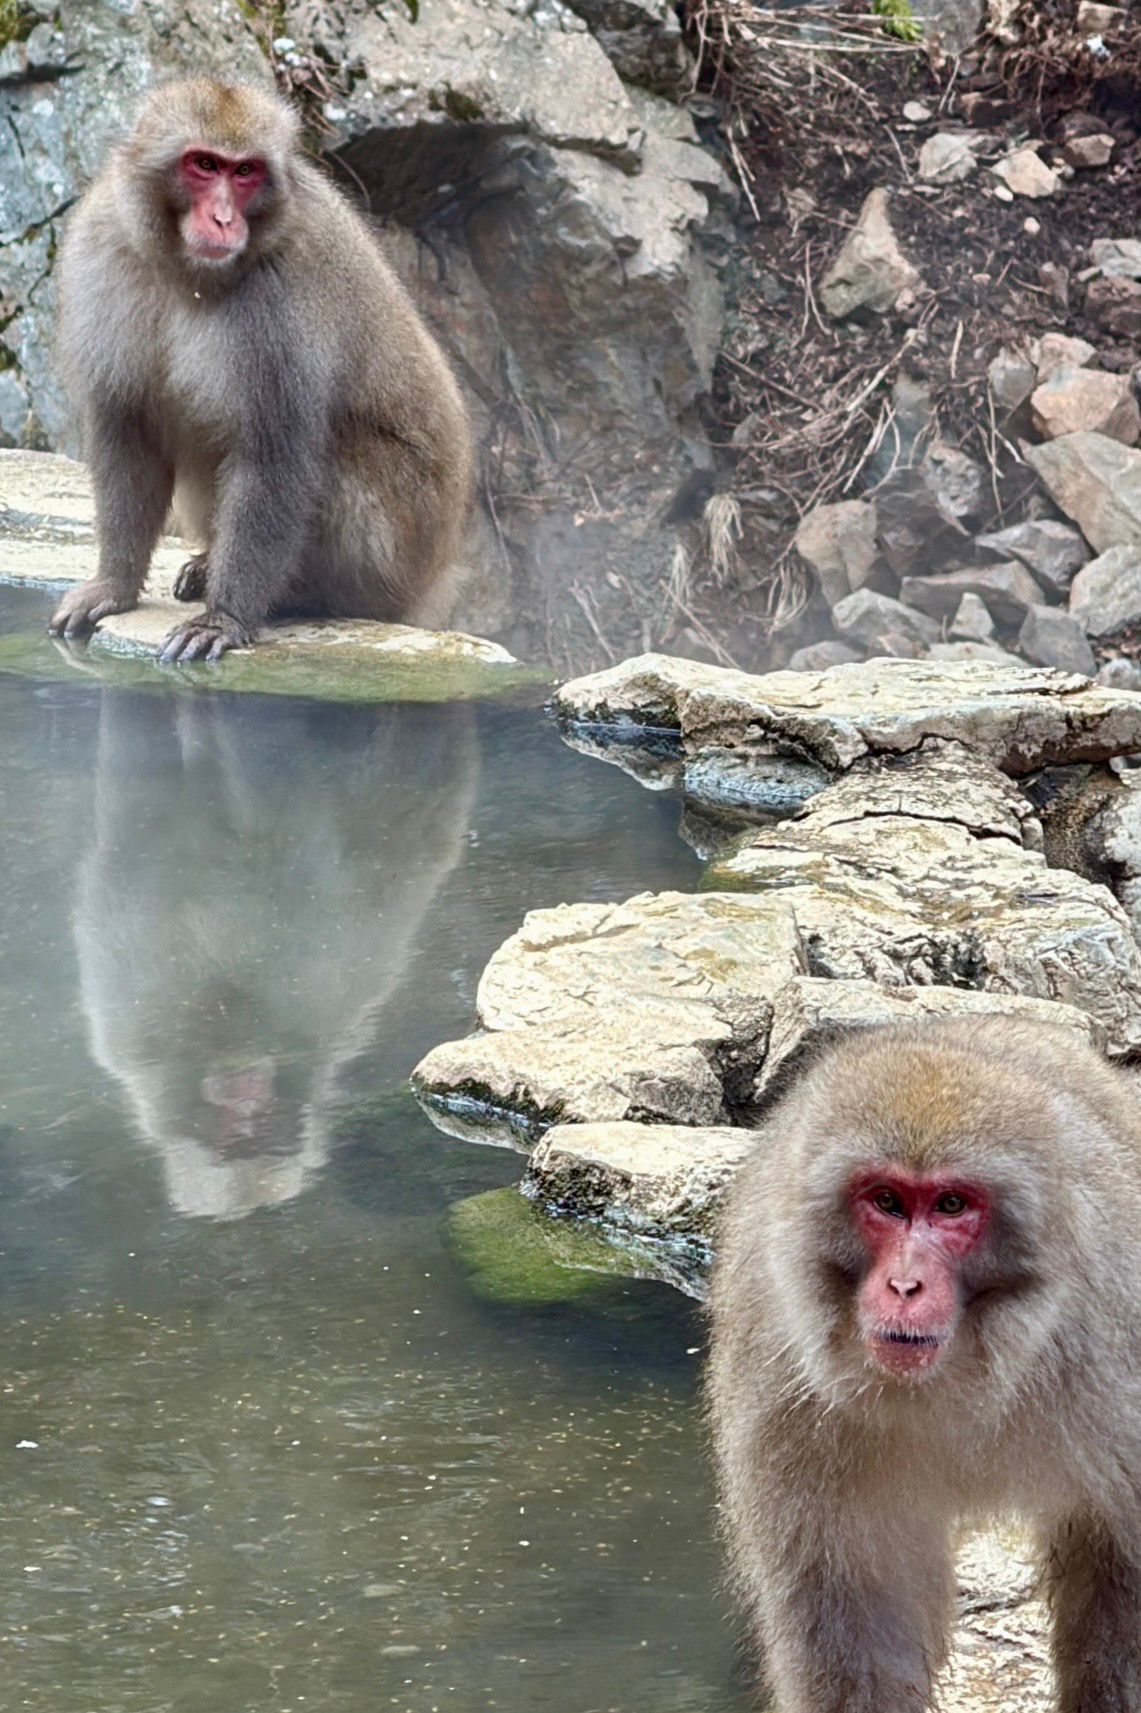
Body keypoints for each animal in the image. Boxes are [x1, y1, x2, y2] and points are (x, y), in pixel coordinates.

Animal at [49, 79, 473, 662]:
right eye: (205, 164)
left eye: (245, 171)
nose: (225, 220)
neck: (186, 273)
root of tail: (436, 578)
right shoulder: (103, 247)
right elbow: (127, 429)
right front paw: (114, 586)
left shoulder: (279, 302)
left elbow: (272, 454)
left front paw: (224, 618)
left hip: (395, 554)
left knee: (332, 459)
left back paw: (294, 596)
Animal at [707, 1016, 1141, 1713]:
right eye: (887, 1201)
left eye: (951, 1206)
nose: (905, 1285)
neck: (959, 1377)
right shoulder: (783, 1383)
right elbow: (851, 1607)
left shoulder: (1113, 1343)